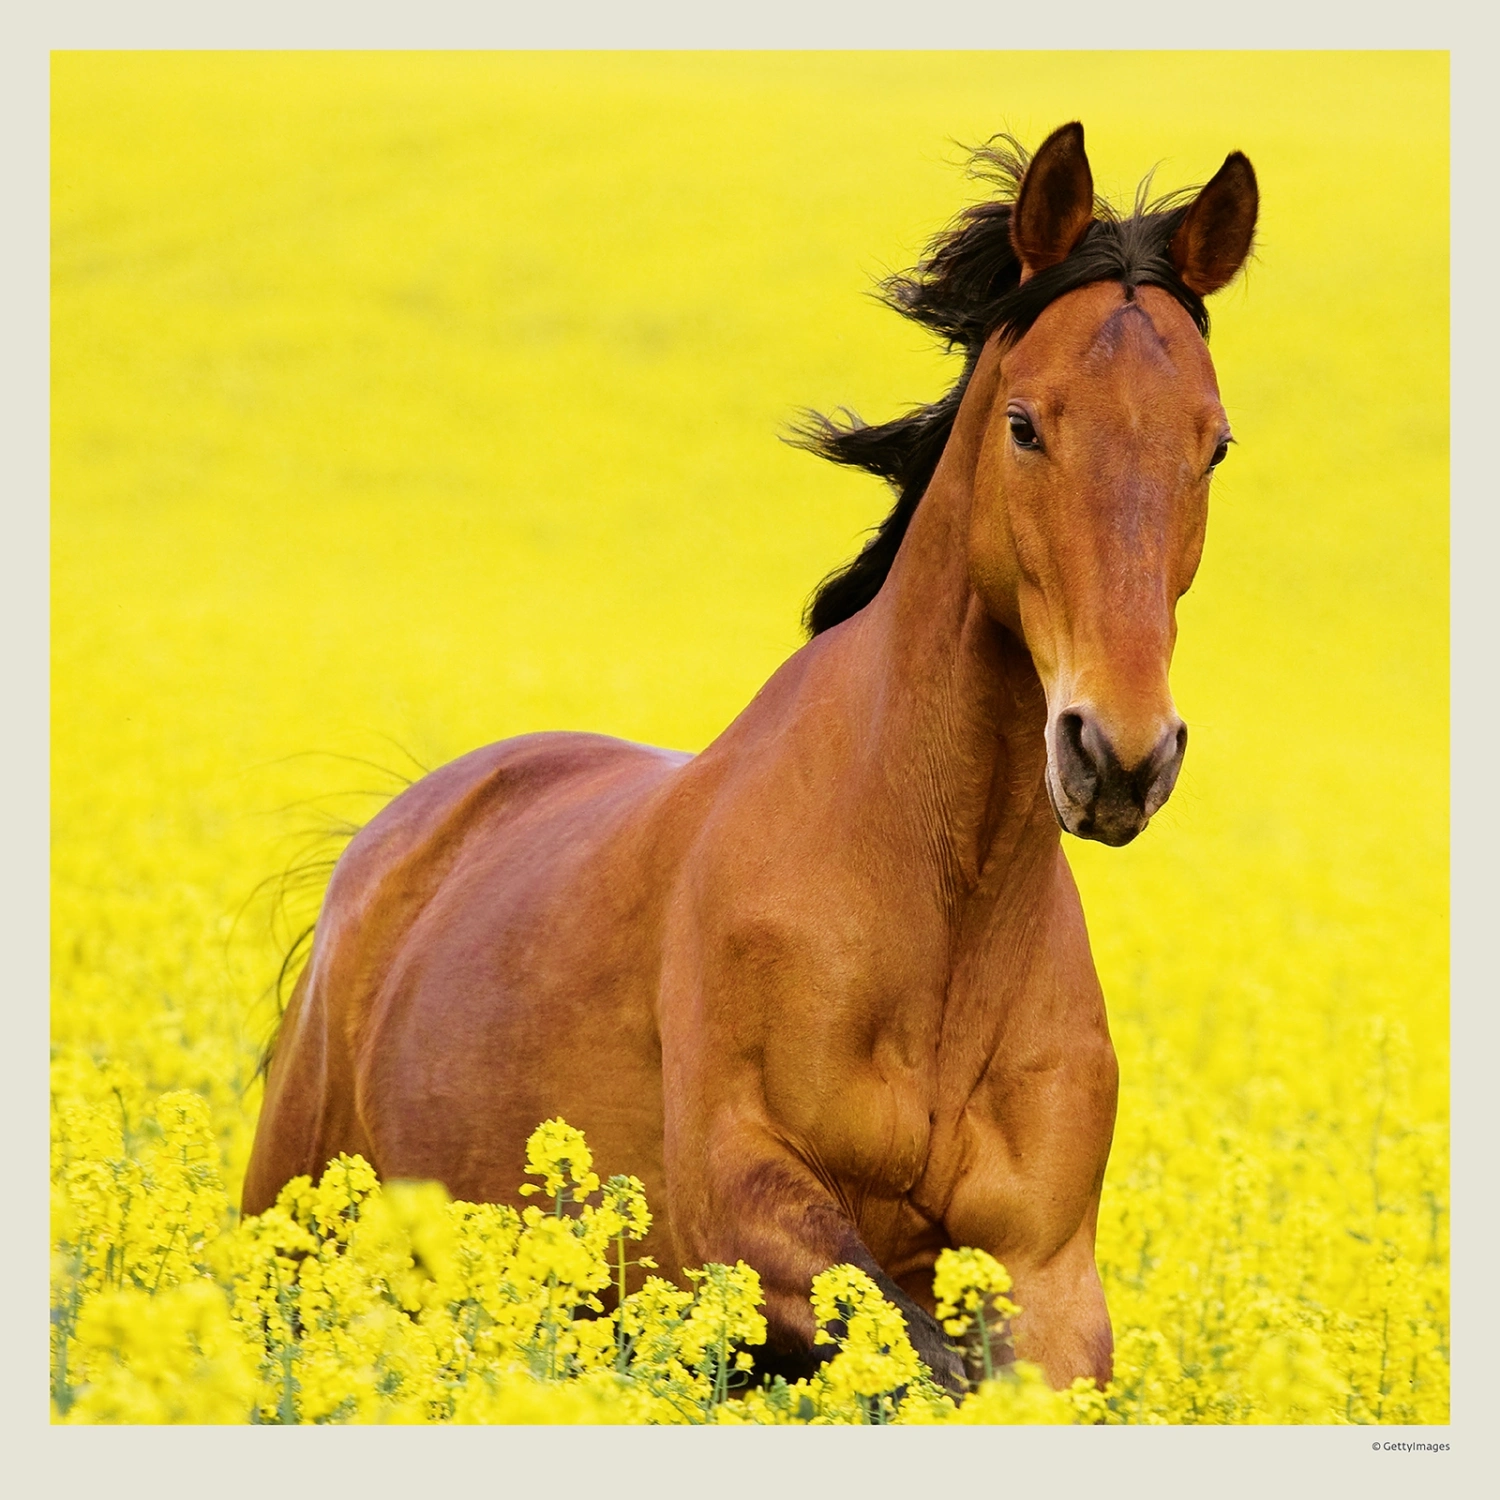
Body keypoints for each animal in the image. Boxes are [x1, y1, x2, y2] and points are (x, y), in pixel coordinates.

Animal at [243, 122, 1258, 1394]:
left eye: (1213, 447)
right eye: (1027, 423)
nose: (1118, 757)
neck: (943, 900)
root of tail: (389, 839)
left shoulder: (1047, 1275)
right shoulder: (743, 1209)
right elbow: (918, 1363)